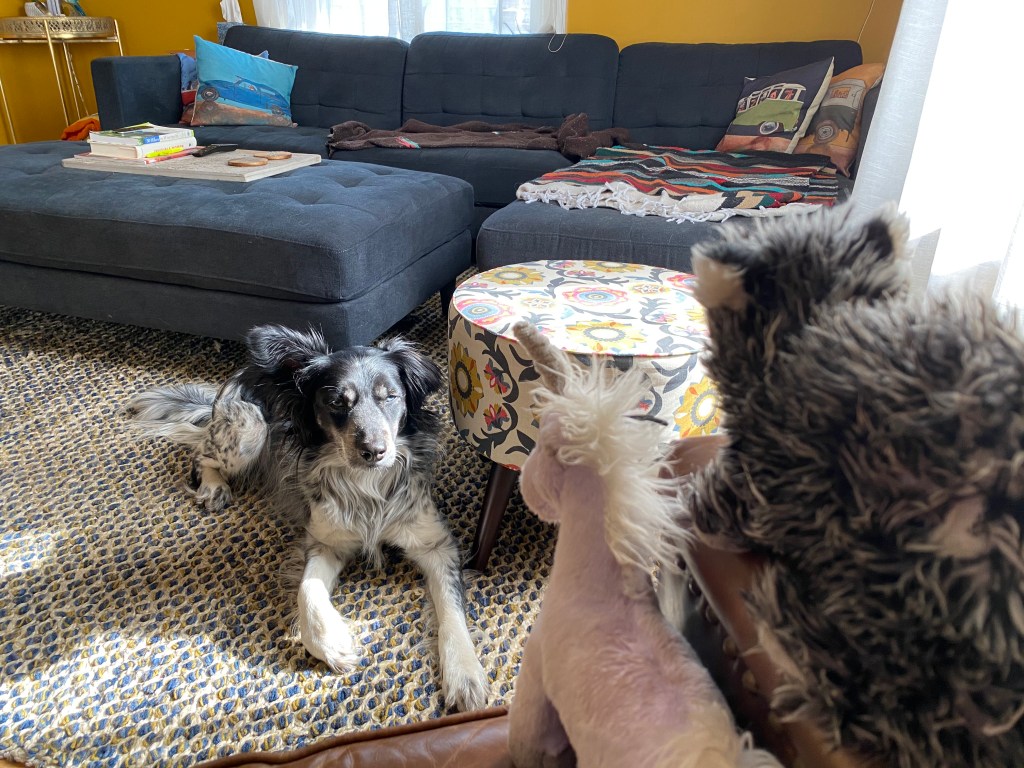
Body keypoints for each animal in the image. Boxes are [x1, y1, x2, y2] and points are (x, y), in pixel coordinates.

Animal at [127, 324, 488, 712]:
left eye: (390, 397)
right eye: (336, 403)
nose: (375, 451)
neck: (367, 488)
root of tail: (241, 371)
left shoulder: (436, 544)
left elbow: (451, 610)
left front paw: (465, 674)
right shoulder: (324, 542)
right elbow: (307, 591)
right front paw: (332, 644)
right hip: (250, 428)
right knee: (200, 454)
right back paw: (213, 487)